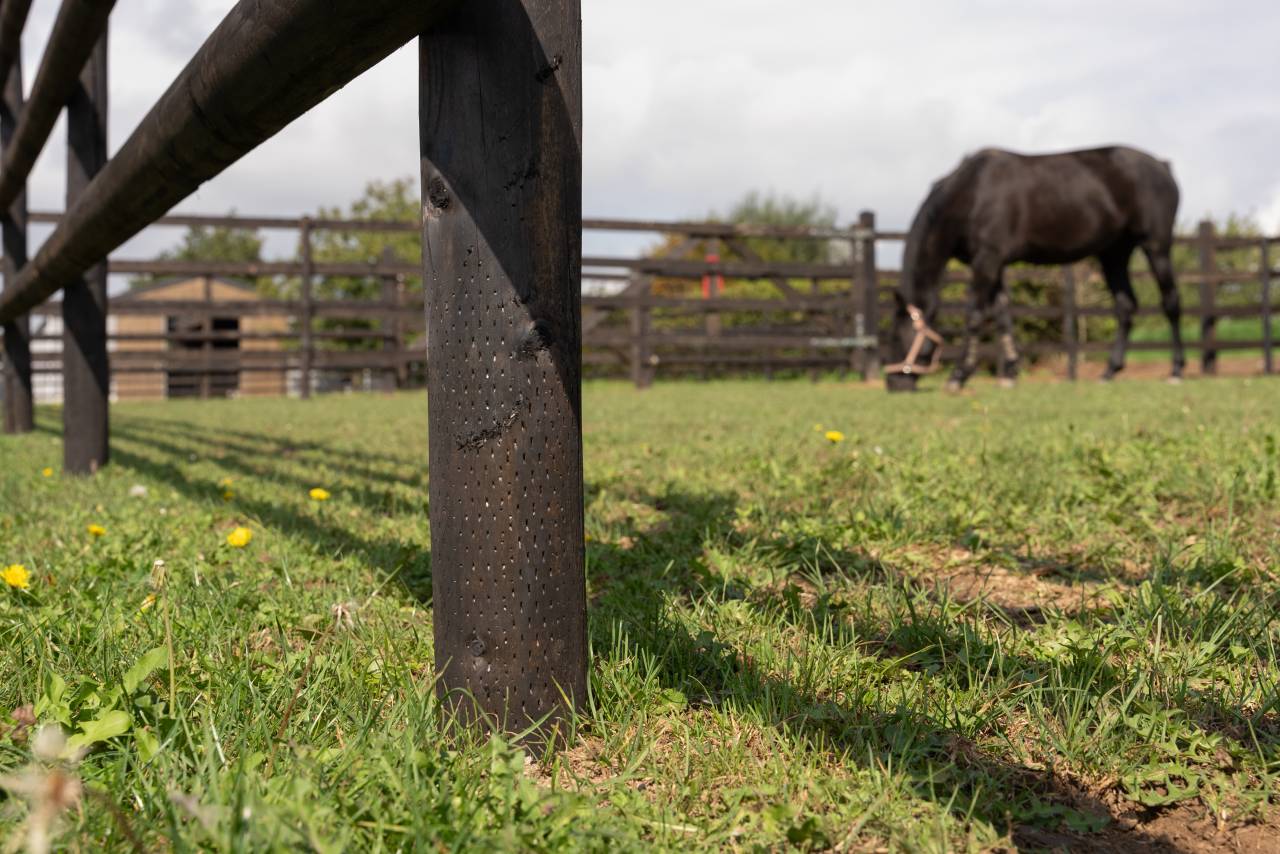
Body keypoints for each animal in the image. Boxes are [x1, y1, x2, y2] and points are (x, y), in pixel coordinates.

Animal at [884, 145, 1184, 392]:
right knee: (1125, 306)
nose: (893, 383)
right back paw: (1109, 371)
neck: (971, 195)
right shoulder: (995, 264)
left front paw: (959, 375)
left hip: (1156, 246)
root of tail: (1162, 165)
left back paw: (1176, 370)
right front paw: (1010, 373)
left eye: (897, 337)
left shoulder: (987, 259)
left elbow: (976, 315)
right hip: (1114, 252)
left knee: (1171, 302)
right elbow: (1001, 315)